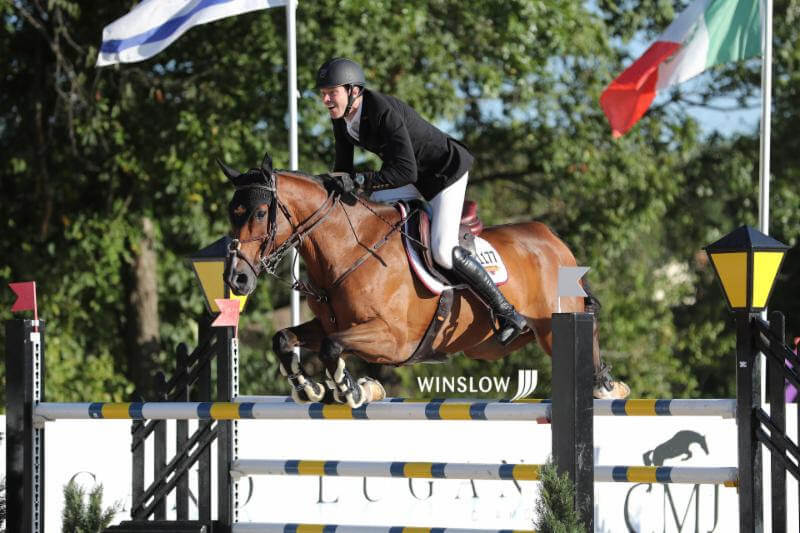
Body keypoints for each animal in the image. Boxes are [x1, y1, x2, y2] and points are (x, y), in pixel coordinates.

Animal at [220, 152, 632, 406]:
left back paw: (606, 387)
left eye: (260, 212)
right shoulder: (333, 324)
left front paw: (354, 389)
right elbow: (285, 338)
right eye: (232, 211)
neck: (349, 249)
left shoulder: (392, 339)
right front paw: (310, 387)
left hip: (553, 324)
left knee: (587, 334)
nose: (236, 279)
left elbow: (332, 348)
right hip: (496, 342)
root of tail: (551, 239)